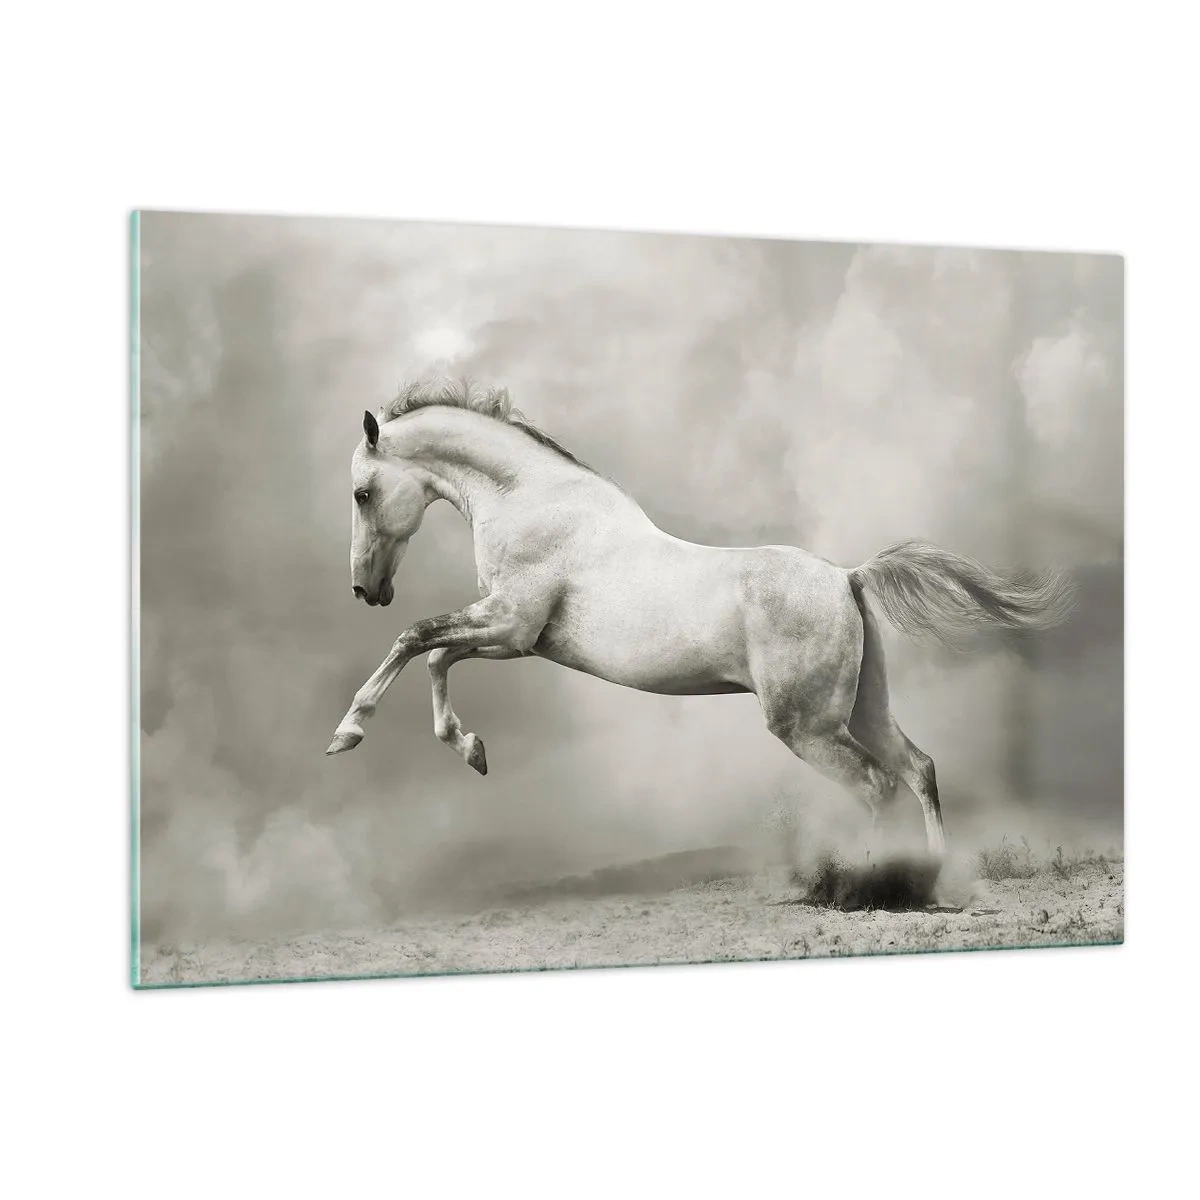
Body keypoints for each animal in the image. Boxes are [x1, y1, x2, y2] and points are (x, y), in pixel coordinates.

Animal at [326, 380, 1074, 856]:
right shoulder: (514, 637)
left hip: (807, 727)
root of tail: (847, 577)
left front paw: (347, 733)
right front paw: (472, 749)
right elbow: (436, 655)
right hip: (864, 709)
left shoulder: (510, 625)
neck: (532, 500)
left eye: (362, 493)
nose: (365, 589)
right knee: (919, 770)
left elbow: (415, 639)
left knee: (877, 785)